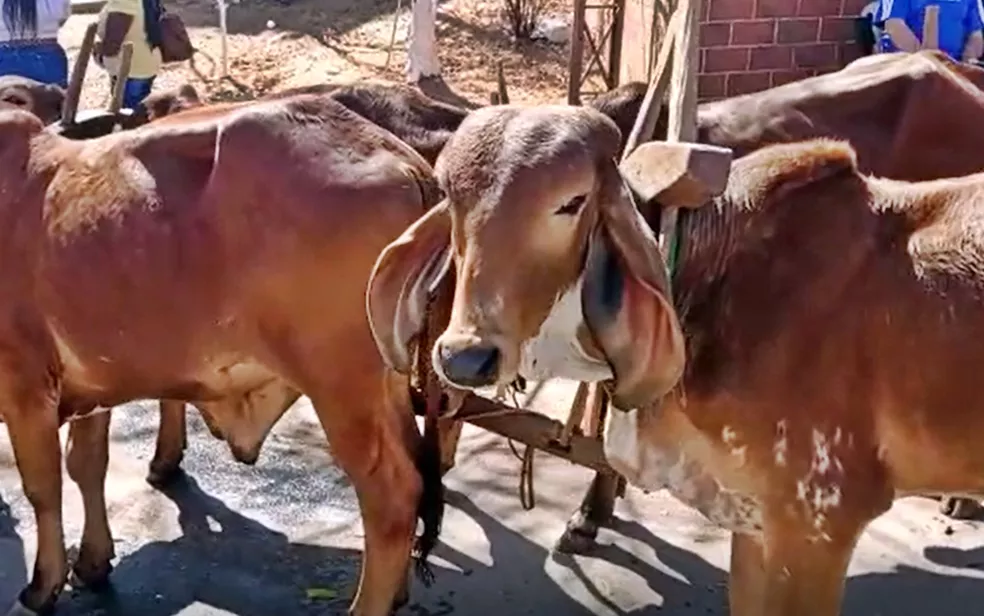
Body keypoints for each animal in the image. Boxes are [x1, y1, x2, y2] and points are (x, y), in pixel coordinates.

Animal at [0, 92, 442, 616]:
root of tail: (399, 155)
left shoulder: (24, 386)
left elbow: (41, 486)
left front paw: (42, 584)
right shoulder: (92, 386)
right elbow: (87, 466)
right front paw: (91, 562)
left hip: (341, 389)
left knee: (392, 497)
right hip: (387, 384)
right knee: (417, 471)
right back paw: (397, 593)